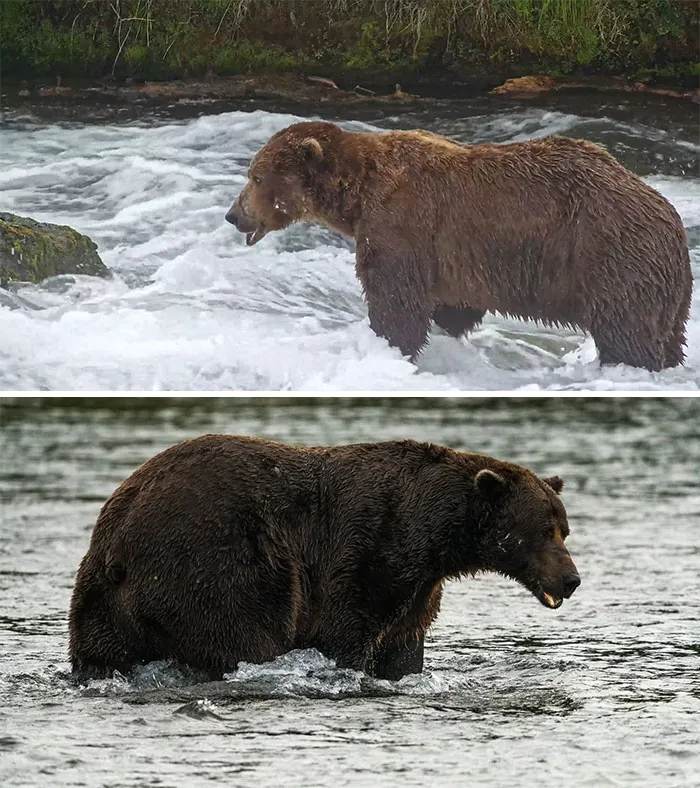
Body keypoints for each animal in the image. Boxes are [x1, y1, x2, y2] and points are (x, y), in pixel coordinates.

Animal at [69, 435, 581, 681]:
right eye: (543, 530)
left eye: (565, 528)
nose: (572, 579)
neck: (436, 537)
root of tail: (116, 542)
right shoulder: (371, 551)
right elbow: (346, 632)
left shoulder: (420, 585)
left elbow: (404, 644)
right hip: (216, 564)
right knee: (243, 635)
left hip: (102, 602)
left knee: (100, 652)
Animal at [225, 121, 692, 372]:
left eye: (256, 176)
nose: (233, 214)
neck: (356, 193)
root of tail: (672, 221)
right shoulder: (453, 255)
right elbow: (452, 303)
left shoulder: (402, 221)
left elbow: (396, 297)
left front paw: (388, 344)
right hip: (668, 290)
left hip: (610, 256)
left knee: (625, 331)